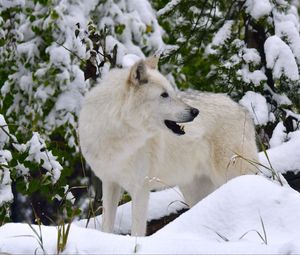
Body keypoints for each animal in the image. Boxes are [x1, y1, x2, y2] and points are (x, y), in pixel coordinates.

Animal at [78, 56, 258, 236]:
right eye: (164, 95)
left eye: (171, 92)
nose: (195, 112)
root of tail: (241, 108)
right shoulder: (110, 183)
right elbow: (106, 228)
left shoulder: (140, 189)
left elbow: (137, 231)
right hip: (194, 190)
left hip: (231, 175)